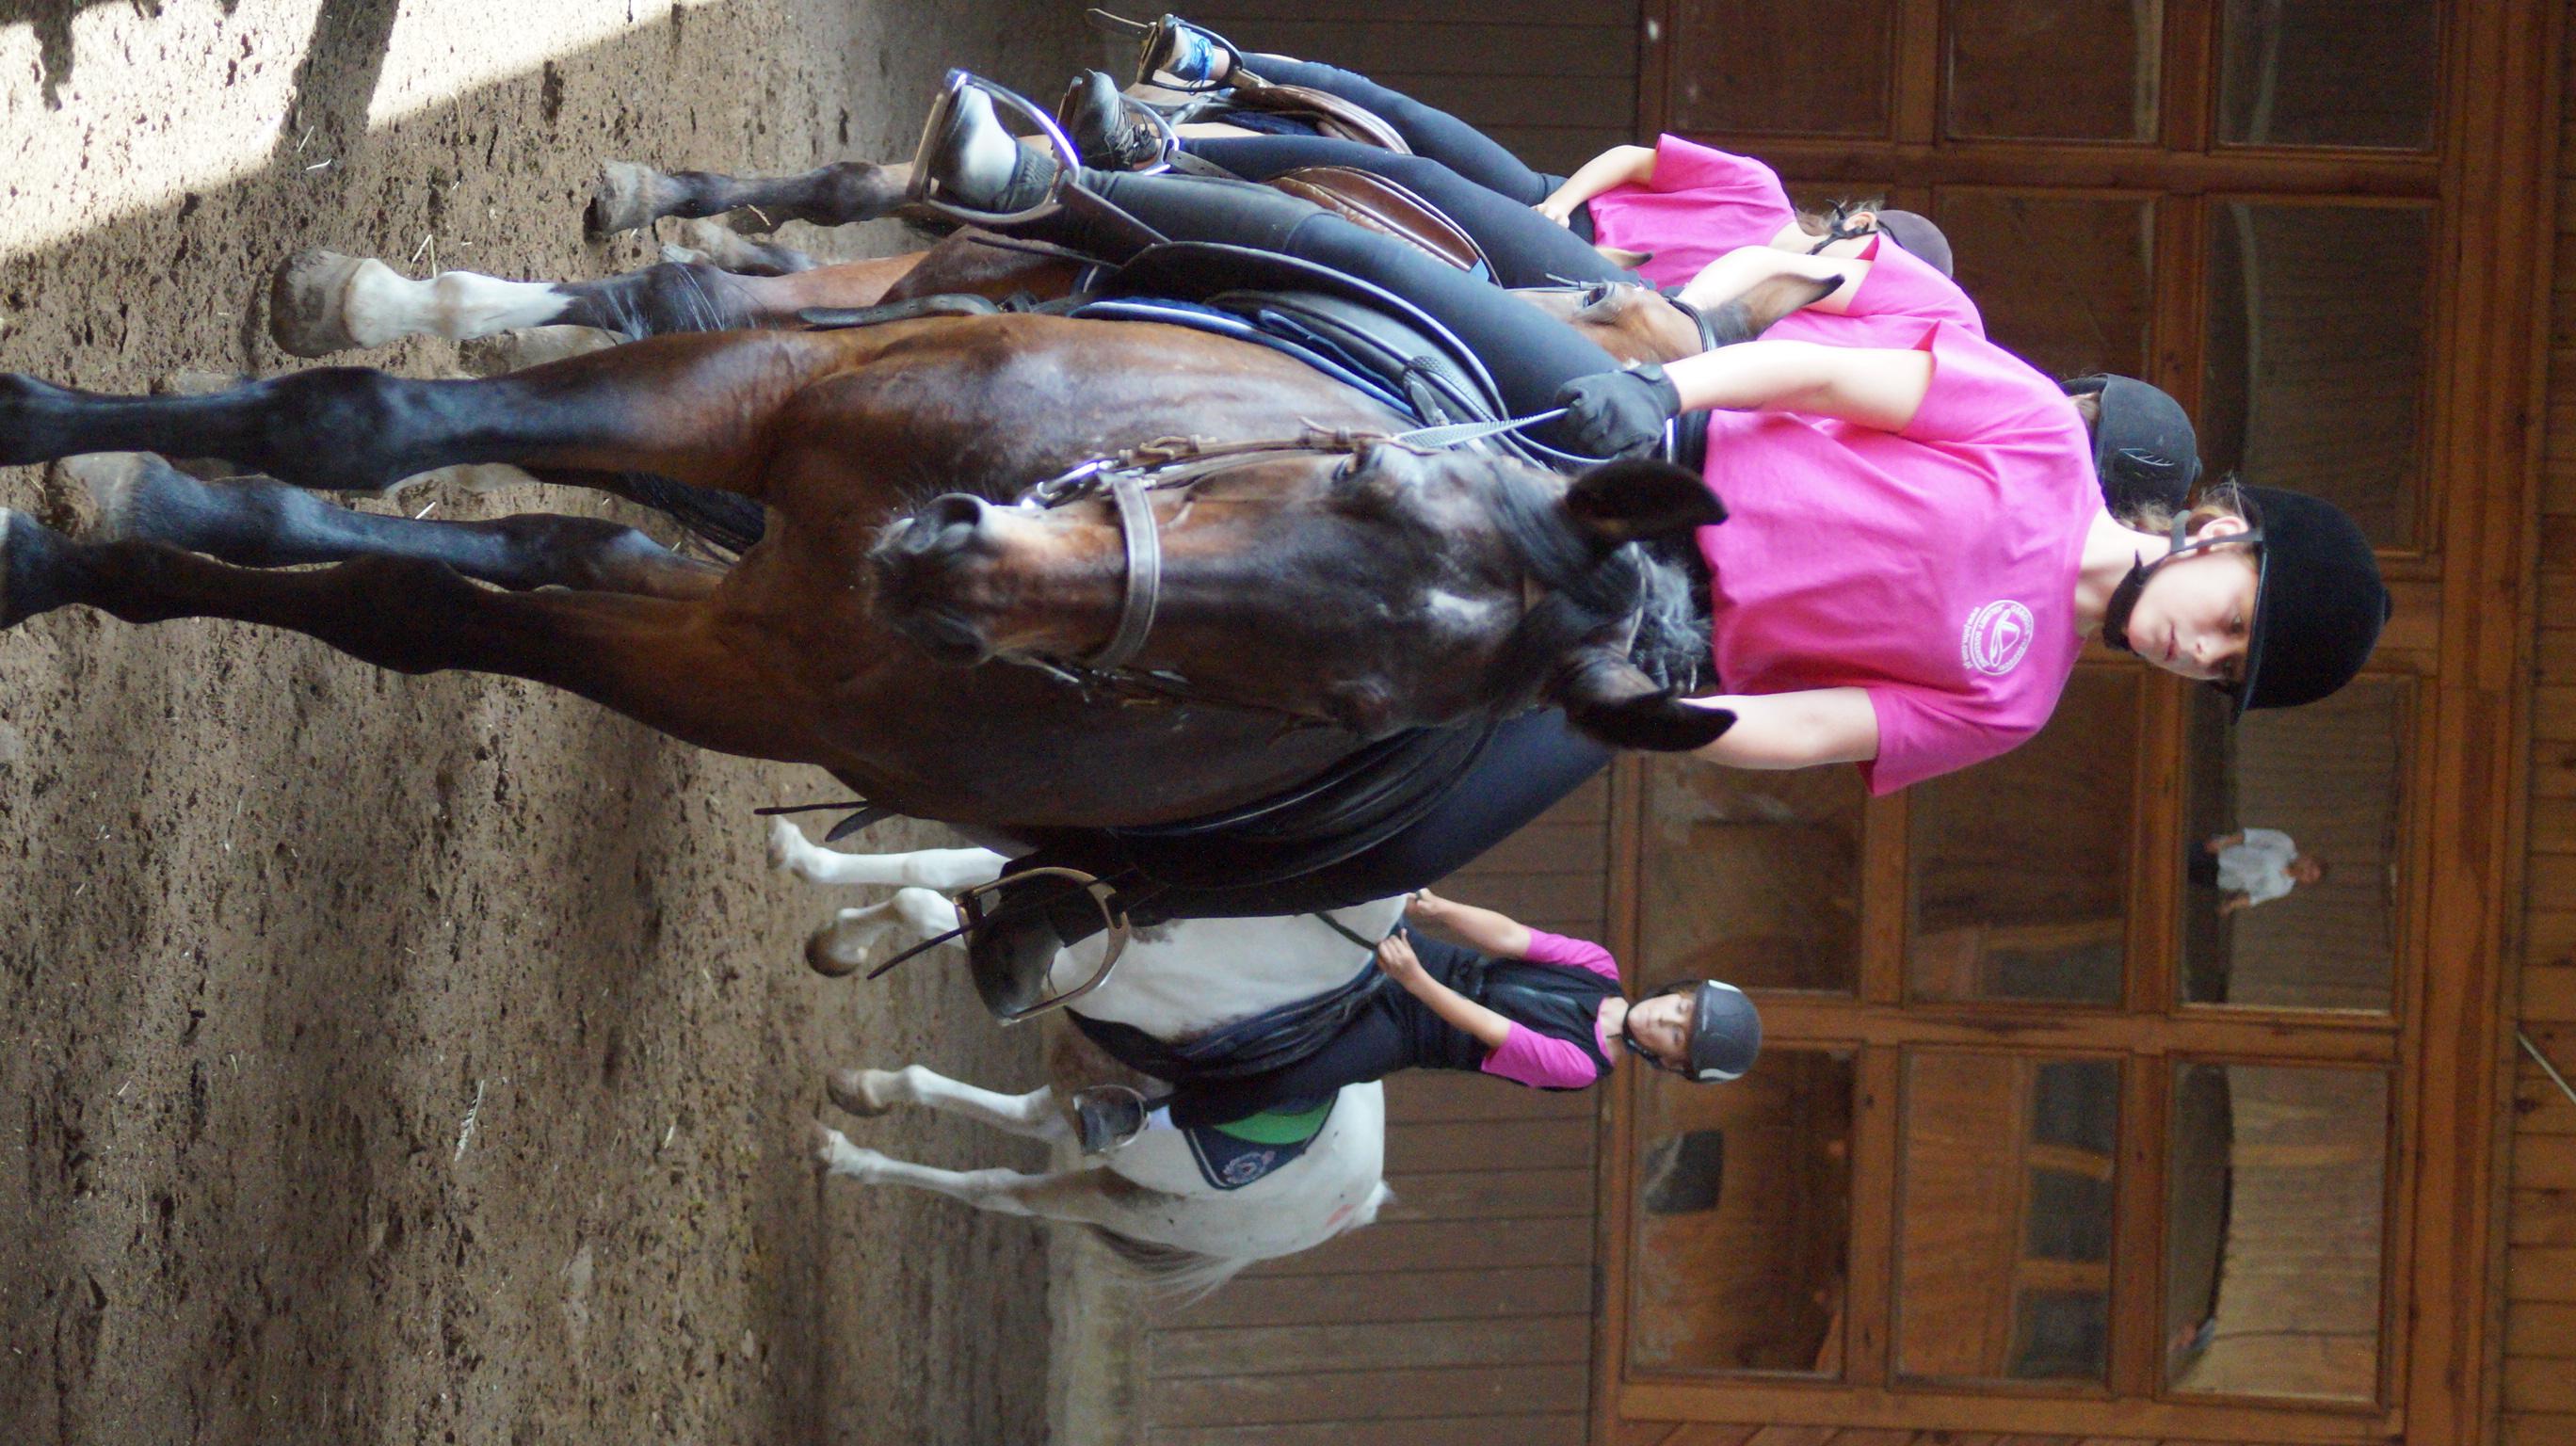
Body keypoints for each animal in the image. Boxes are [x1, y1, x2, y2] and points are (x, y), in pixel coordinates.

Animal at [779, 818, 1404, 1288]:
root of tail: (1362, 1199)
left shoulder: (1054, 974)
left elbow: (919, 905)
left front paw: (836, 941)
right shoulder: (1050, 883)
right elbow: (923, 873)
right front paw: (815, 896)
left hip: (1122, 1202)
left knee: (998, 1190)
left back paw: (846, 1154)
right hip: (1088, 1101)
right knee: (1025, 1116)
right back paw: (866, 1090)